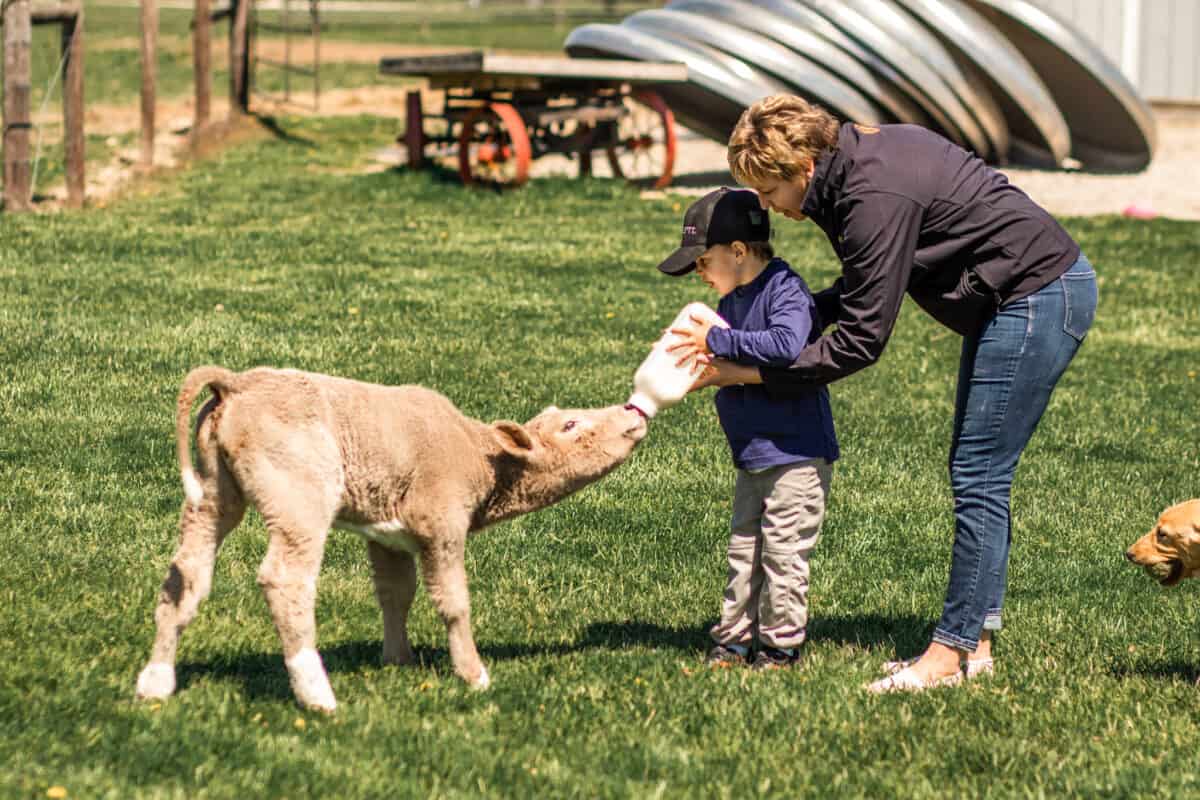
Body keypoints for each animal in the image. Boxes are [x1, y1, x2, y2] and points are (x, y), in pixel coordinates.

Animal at [136, 367, 648, 710]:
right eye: (571, 425)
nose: (632, 412)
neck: (478, 452)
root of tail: (237, 381)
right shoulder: (442, 524)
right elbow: (453, 601)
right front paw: (473, 674)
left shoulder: (387, 535)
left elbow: (395, 594)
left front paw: (398, 661)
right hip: (299, 497)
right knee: (285, 579)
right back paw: (317, 693)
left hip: (212, 496)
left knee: (185, 574)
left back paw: (155, 682)